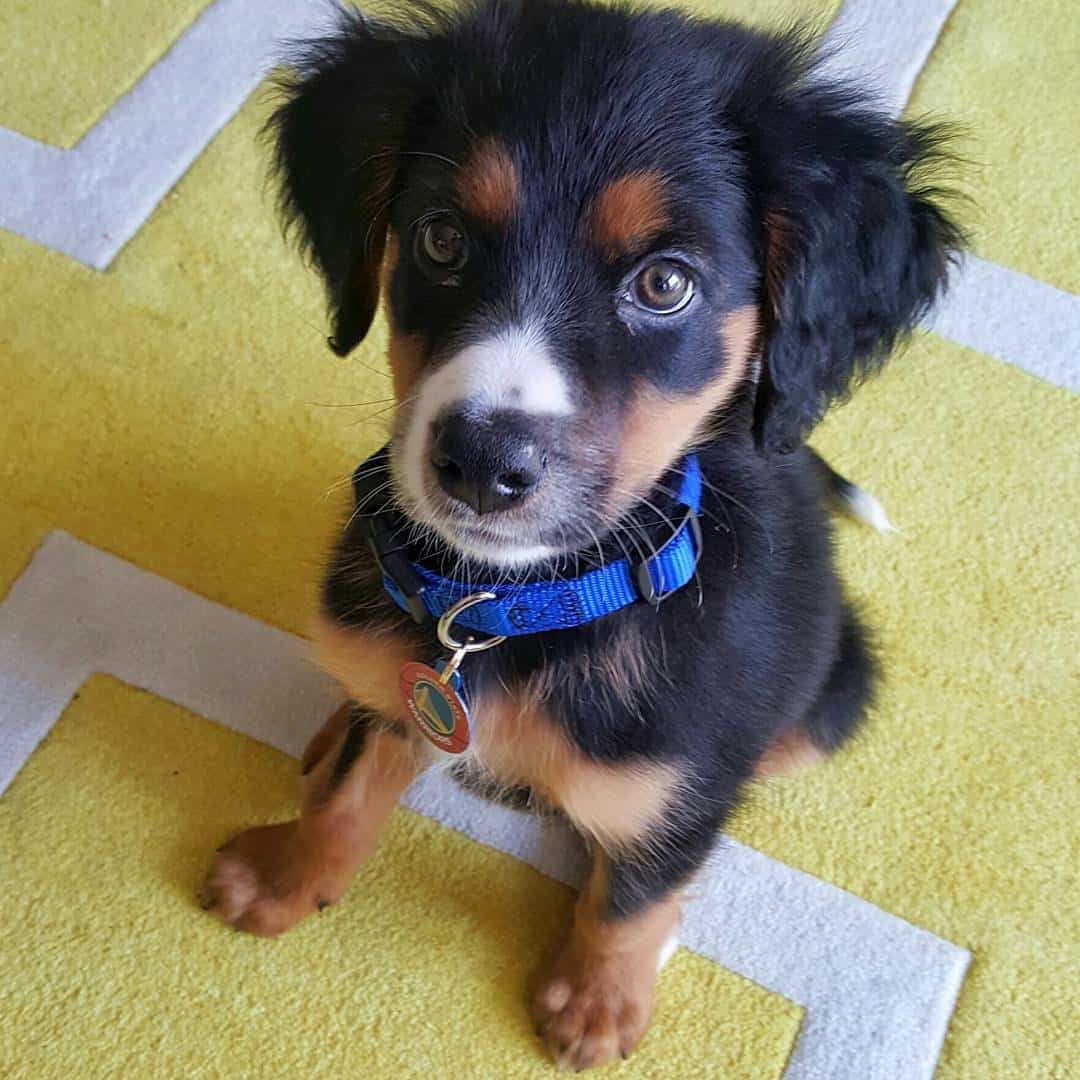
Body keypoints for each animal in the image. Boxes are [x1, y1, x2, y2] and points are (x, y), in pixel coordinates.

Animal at [203, 0, 963, 1062]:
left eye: (666, 284)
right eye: (441, 237)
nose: (482, 463)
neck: (510, 607)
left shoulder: (684, 768)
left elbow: (638, 888)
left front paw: (600, 1000)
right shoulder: (404, 664)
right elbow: (354, 789)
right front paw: (285, 875)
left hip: (834, 693)